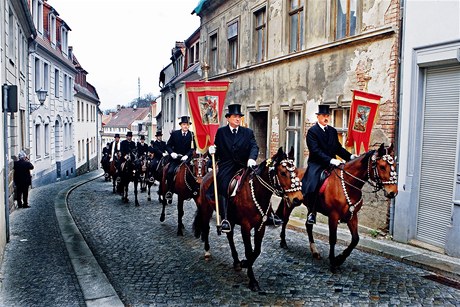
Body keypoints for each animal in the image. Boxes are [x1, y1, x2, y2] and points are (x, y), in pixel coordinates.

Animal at [192, 148, 304, 292]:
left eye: (295, 171)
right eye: (283, 173)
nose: (297, 199)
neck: (256, 192)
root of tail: (206, 176)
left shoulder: (261, 226)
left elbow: (256, 251)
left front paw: (244, 263)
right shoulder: (245, 227)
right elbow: (249, 251)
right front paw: (252, 280)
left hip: (229, 218)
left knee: (229, 236)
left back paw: (236, 261)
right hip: (206, 210)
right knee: (206, 229)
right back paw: (207, 251)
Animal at [274, 144, 398, 272]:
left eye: (394, 165)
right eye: (382, 166)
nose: (393, 192)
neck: (347, 183)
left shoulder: (352, 216)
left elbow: (355, 239)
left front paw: (340, 259)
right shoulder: (333, 216)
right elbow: (333, 238)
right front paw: (333, 262)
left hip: (311, 208)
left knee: (308, 226)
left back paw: (315, 251)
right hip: (291, 203)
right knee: (285, 220)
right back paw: (283, 242)